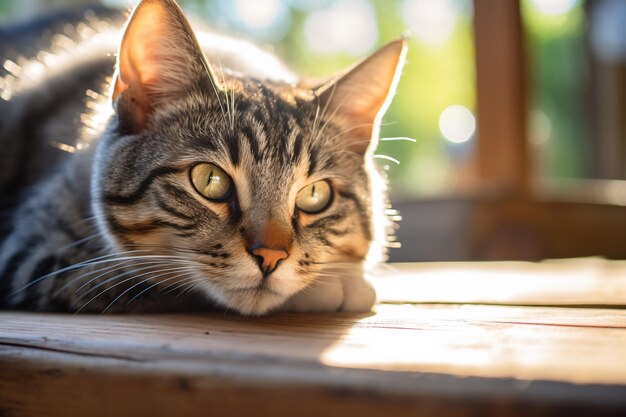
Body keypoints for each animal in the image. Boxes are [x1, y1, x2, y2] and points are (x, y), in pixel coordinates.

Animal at [0, 0, 404, 314]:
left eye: (315, 195)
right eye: (209, 180)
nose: (270, 257)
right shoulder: (31, 253)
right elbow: (142, 281)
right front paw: (336, 285)